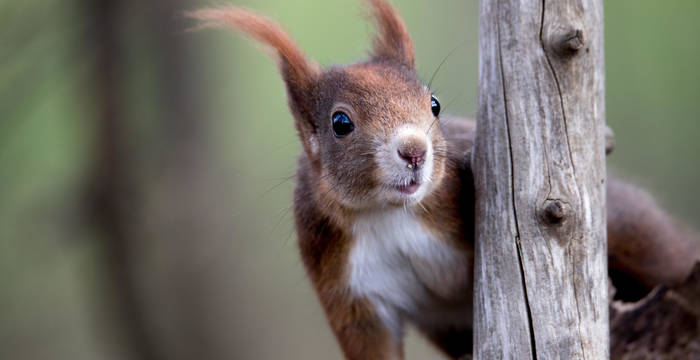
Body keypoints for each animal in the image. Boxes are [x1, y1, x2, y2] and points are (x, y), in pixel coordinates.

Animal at [187, 1, 700, 358]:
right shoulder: (348, 290)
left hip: (631, 230)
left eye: (433, 104)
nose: (415, 150)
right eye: (340, 123)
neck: (386, 213)